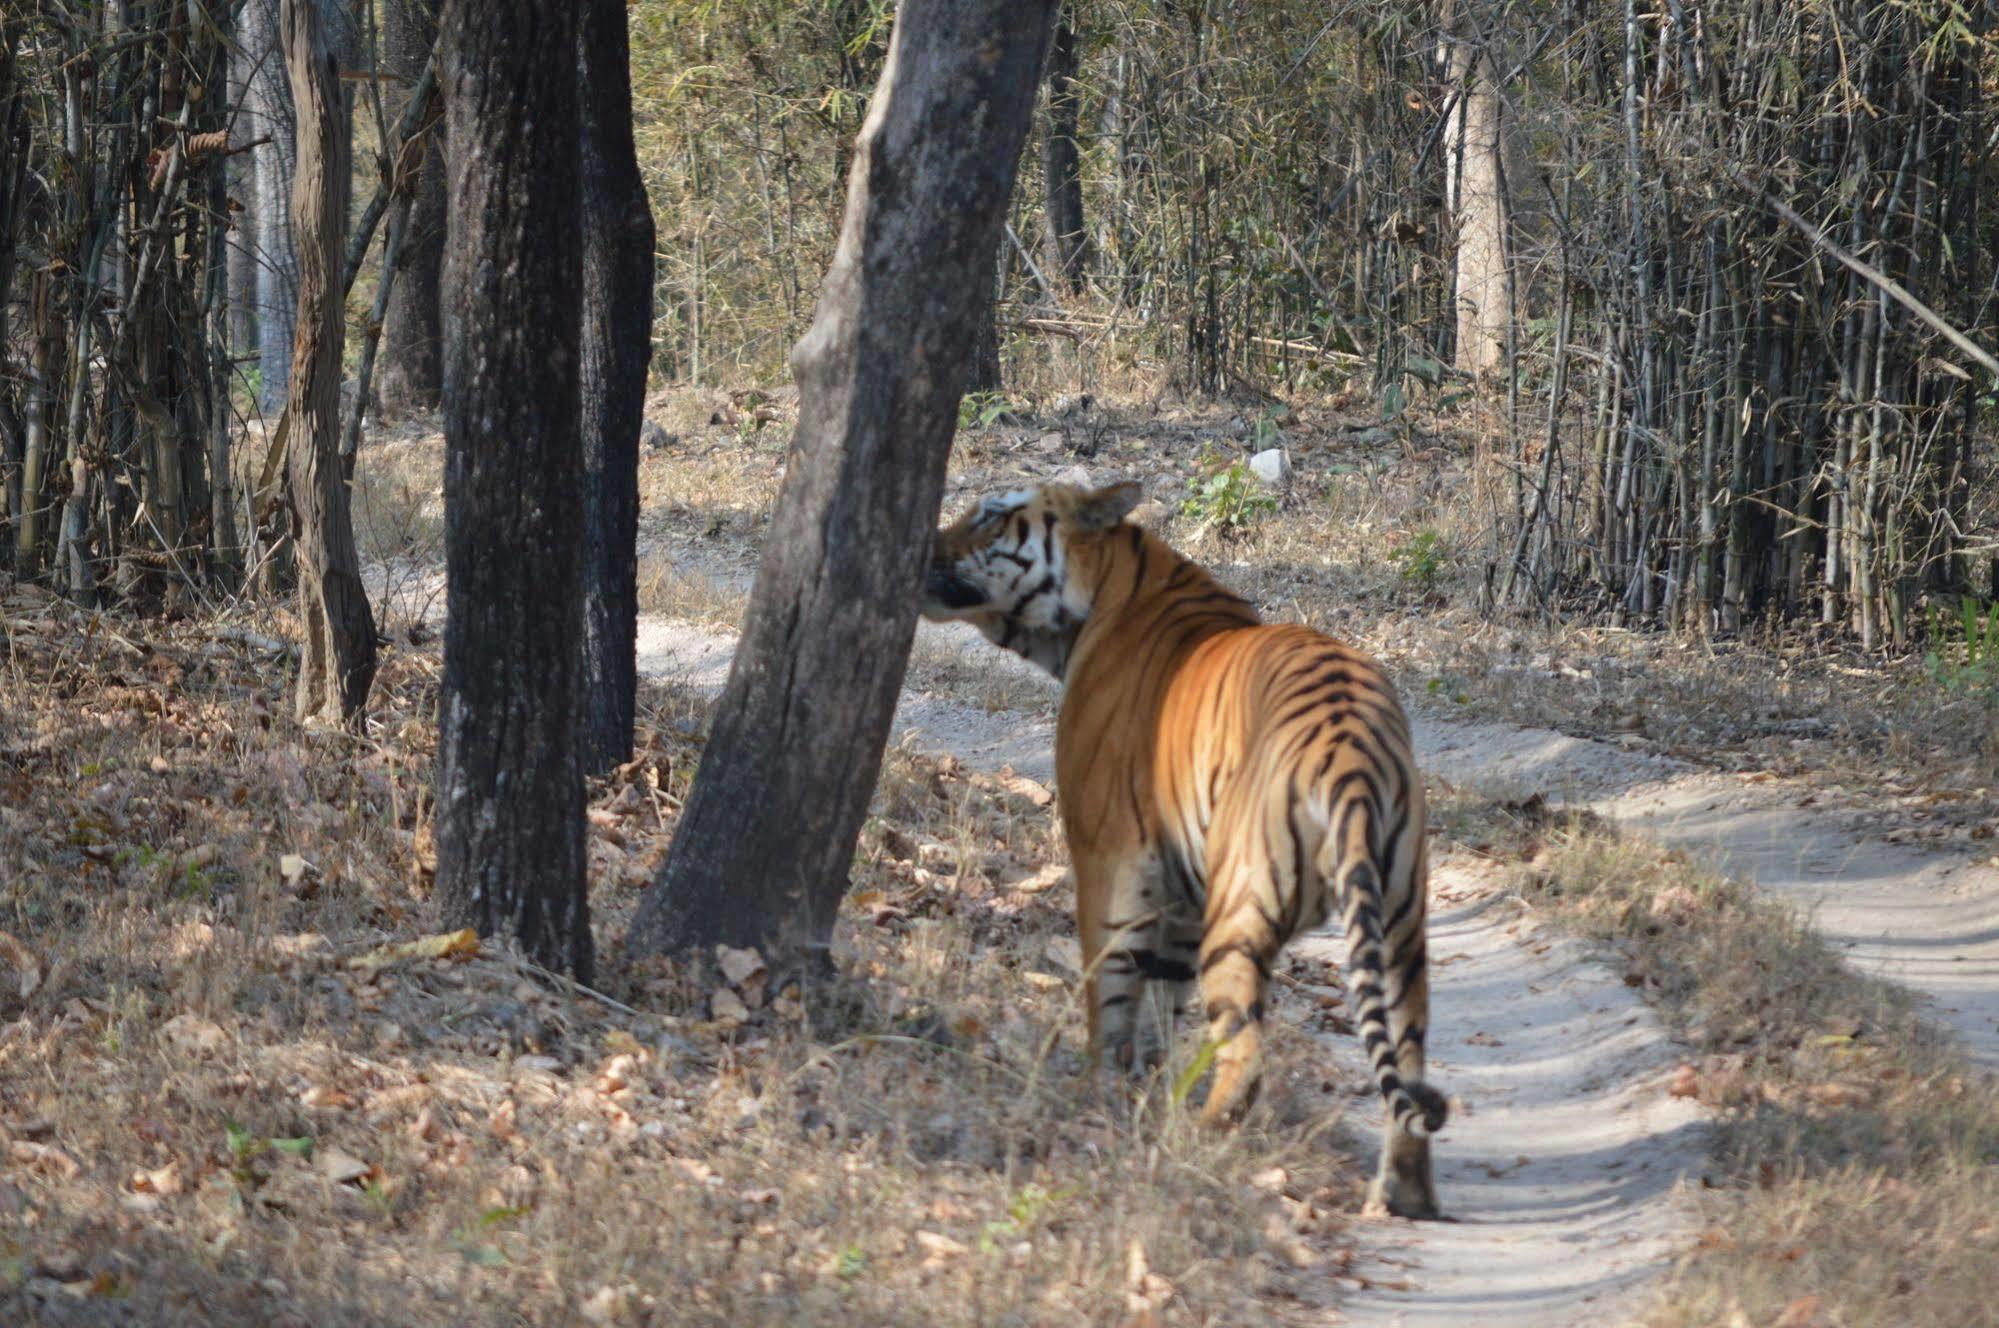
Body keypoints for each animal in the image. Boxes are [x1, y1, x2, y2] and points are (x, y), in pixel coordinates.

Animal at [919, 480, 1455, 1224]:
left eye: (991, 516)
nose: (922, 545)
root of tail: (1350, 751)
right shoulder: (1178, 888)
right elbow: (1159, 1006)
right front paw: (1147, 1094)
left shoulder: (1105, 857)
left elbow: (1109, 990)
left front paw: (1101, 1097)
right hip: (1401, 926)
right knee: (1406, 1057)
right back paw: (1403, 1195)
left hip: (1241, 907)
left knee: (1246, 1050)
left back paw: (1199, 1140)